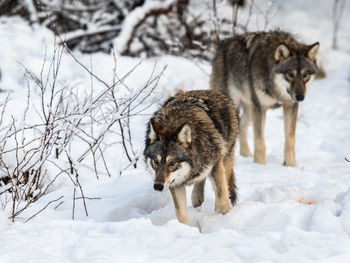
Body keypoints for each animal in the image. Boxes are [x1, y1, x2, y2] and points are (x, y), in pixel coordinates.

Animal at [143, 89, 238, 226]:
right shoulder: (175, 184)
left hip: (224, 159)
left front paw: (226, 218)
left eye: (172, 163)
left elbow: (222, 200)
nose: (158, 186)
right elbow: (181, 215)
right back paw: (197, 197)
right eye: (156, 161)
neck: (173, 123)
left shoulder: (215, 165)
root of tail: (210, 90)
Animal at [211, 30, 320, 167]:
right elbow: (260, 142)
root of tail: (222, 44)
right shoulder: (260, 108)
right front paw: (260, 165)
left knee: (241, 126)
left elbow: (290, 141)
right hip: (234, 107)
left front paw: (291, 166)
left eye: (305, 75)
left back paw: (246, 154)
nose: (300, 97)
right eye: (290, 74)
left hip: (249, 110)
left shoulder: (290, 106)